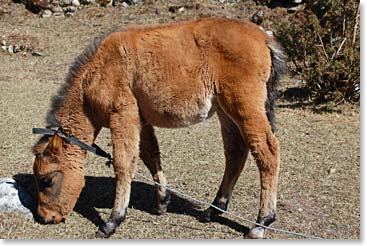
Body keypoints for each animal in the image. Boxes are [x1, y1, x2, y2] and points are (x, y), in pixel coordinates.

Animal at [32, 18, 288, 239]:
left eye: (47, 180)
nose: (46, 217)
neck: (96, 71)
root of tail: (264, 37)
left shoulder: (122, 115)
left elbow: (123, 163)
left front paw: (112, 221)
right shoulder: (141, 120)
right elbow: (150, 155)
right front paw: (163, 201)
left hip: (245, 107)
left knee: (267, 152)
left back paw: (260, 224)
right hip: (226, 113)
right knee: (236, 153)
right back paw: (212, 210)